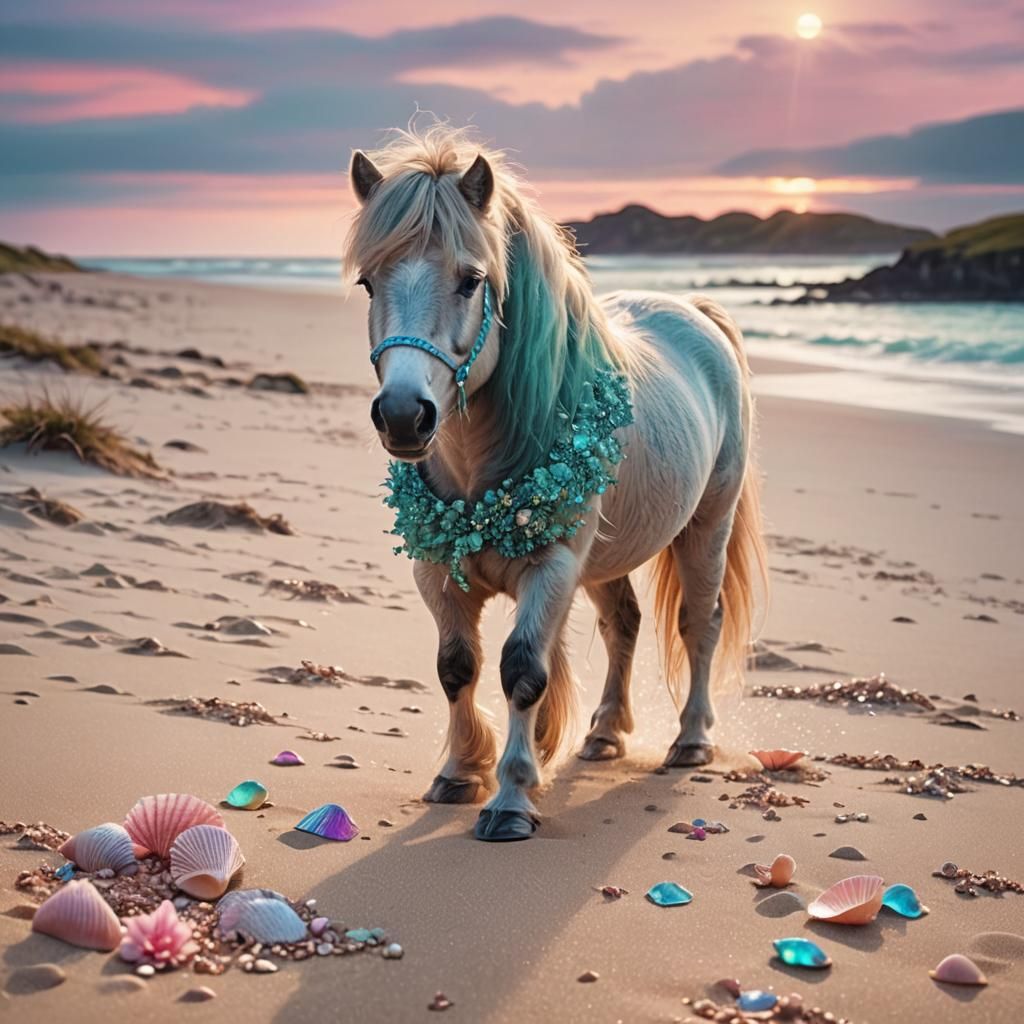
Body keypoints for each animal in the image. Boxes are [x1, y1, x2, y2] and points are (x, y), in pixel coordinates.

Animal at [344, 124, 767, 842]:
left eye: (471, 280)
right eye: (370, 283)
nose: (403, 415)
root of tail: (695, 311)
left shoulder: (552, 567)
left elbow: (522, 670)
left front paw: (511, 799)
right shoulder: (436, 571)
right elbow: (457, 667)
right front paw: (458, 773)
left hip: (706, 528)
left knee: (698, 625)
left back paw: (690, 741)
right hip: (606, 557)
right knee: (624, 624)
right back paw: (603, 734)